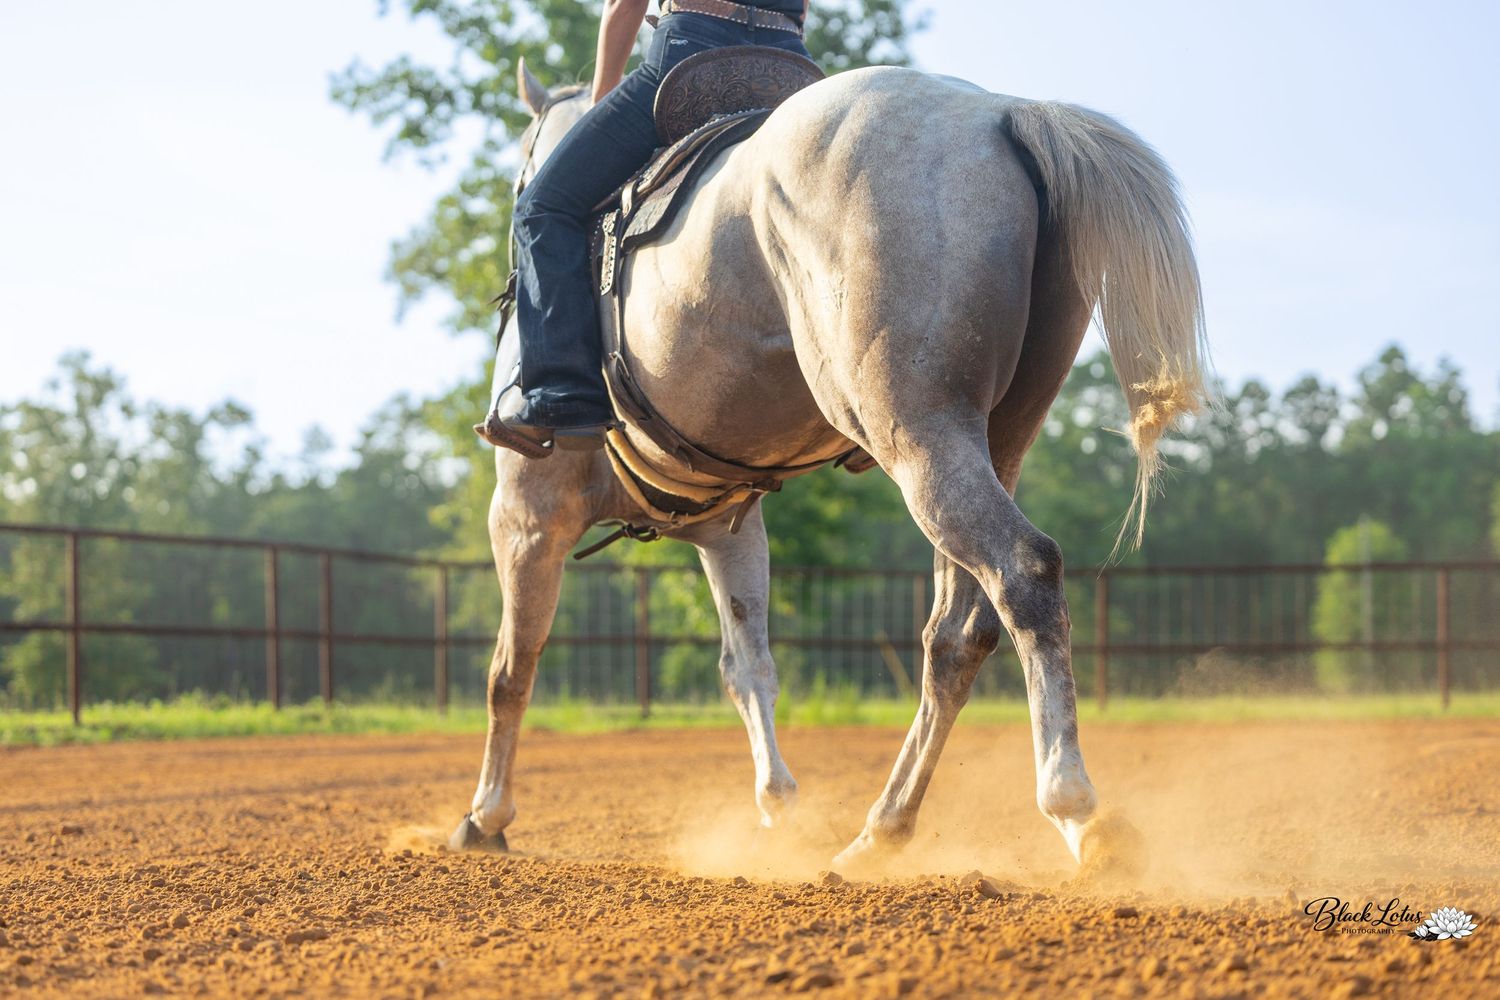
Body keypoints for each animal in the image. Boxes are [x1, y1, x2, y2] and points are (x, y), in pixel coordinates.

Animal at [449, 57, 1207, 877]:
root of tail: (1003, 114)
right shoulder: (727, 528)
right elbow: (747, 668)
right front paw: (778, 806)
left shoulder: (526, 515)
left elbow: (510, 669)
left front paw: (486, 816)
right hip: (991, 442)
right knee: (957, 633)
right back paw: (882, 829)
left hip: (920, 438)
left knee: (1024, 572)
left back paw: (1074, 808)